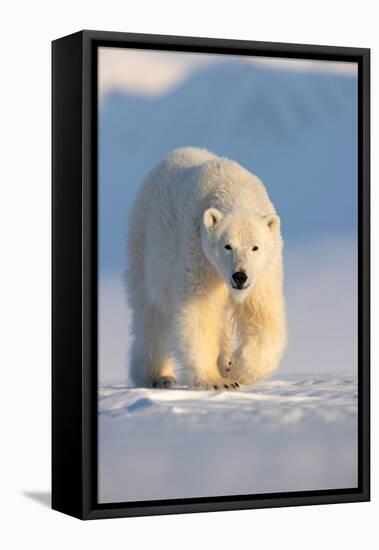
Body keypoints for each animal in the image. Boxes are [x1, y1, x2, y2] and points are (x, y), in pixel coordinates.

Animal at [126, 147, 286, 388]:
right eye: (227, 245)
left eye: (255, 247)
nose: (239, 276)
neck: (235, 189)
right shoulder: (198, 253)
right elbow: (200, 310)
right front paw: (218, 381)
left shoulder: (264, 270)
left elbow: (263, 313)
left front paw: (236, 369)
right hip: (146, 246)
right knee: (151, 314)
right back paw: (157, 376)